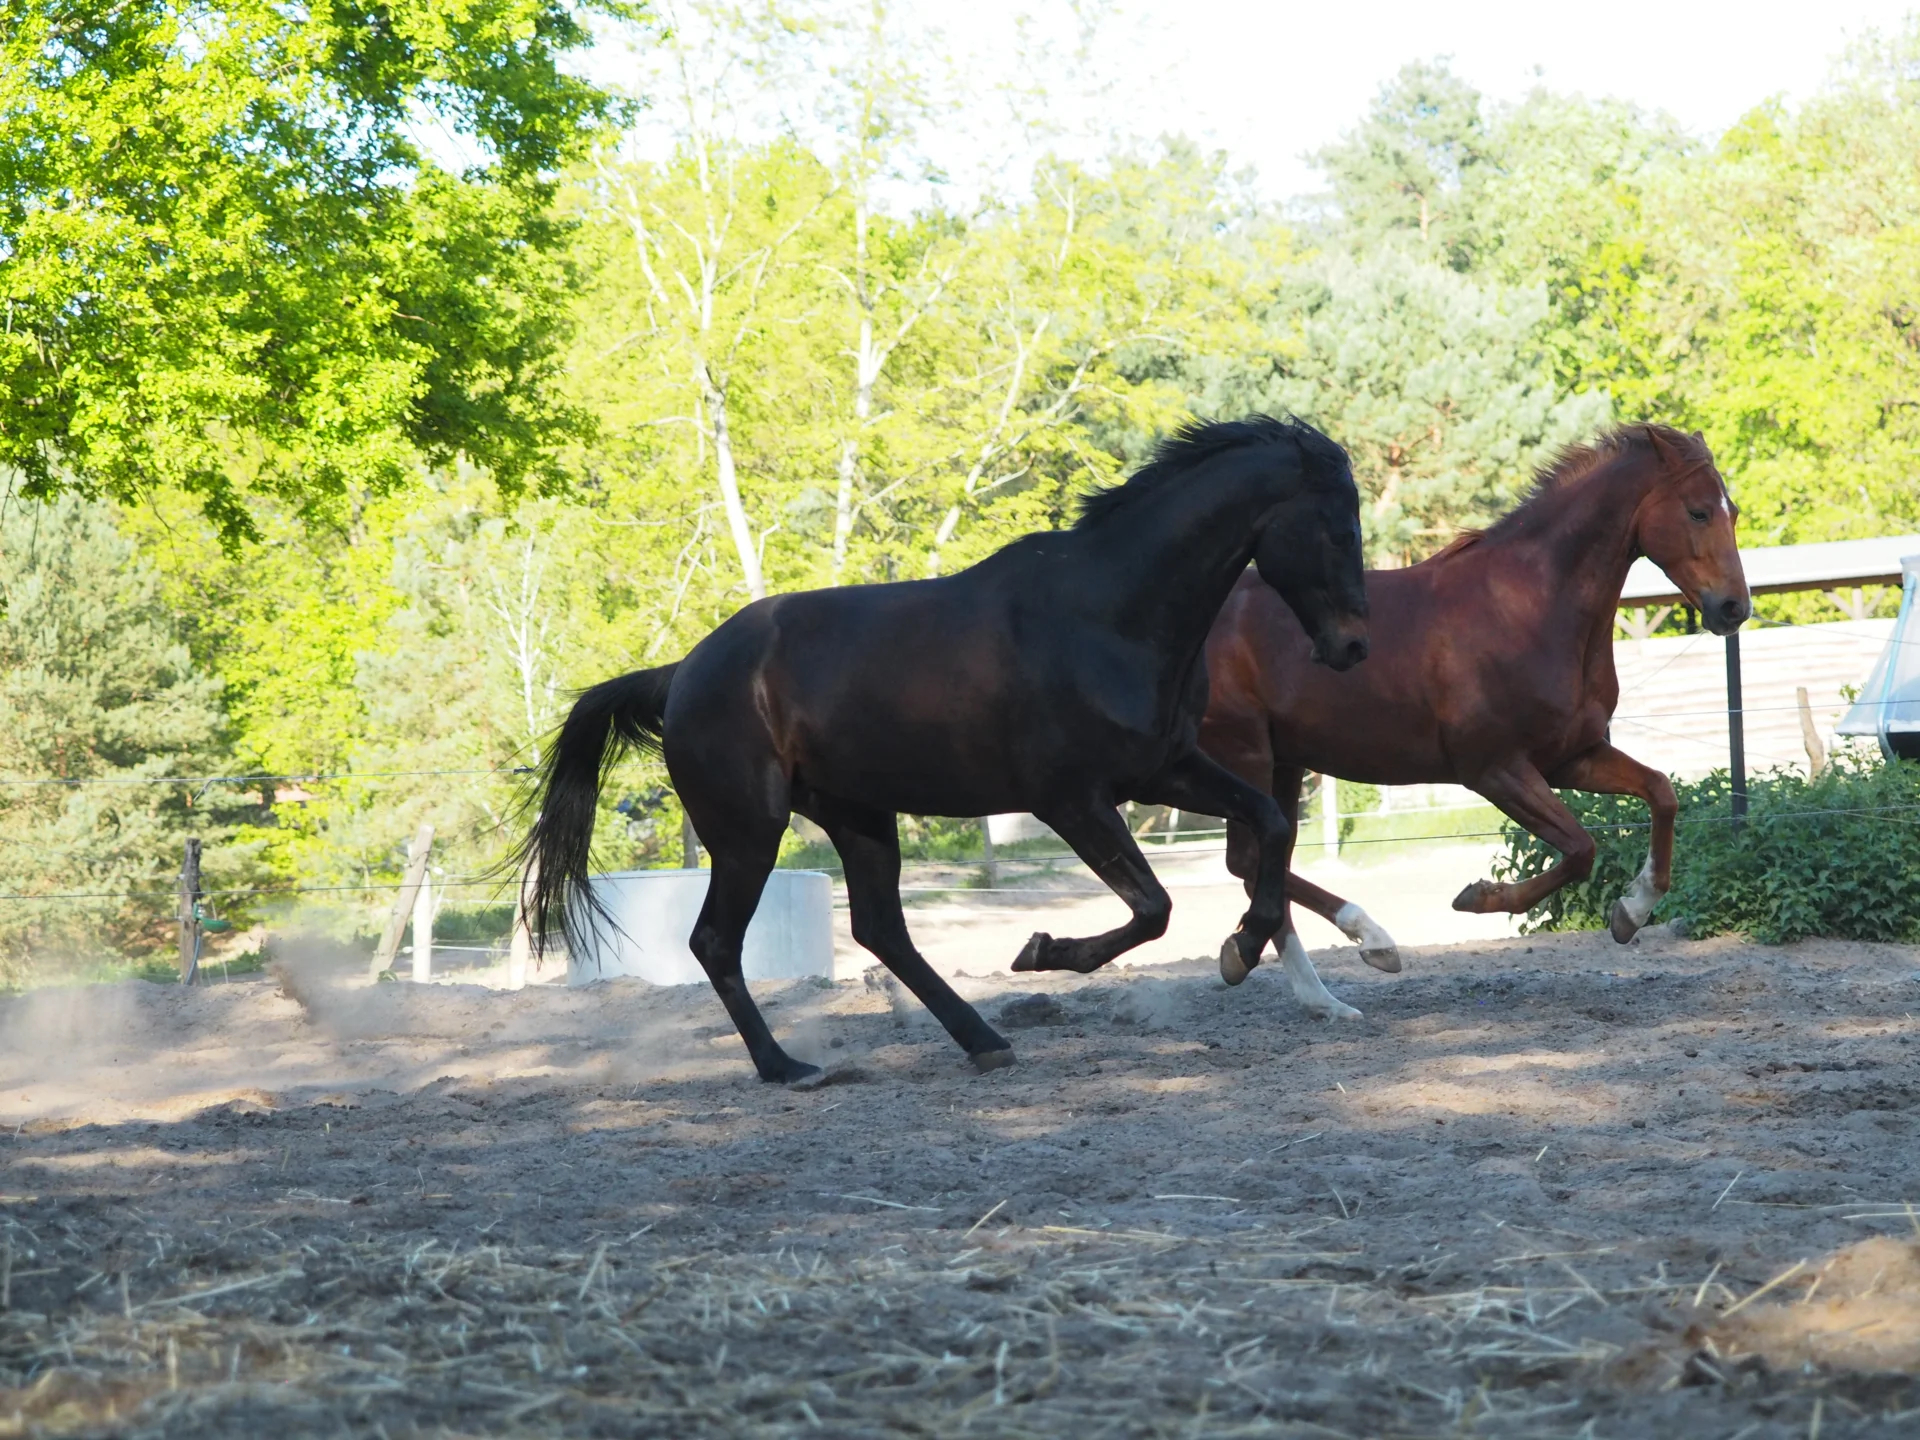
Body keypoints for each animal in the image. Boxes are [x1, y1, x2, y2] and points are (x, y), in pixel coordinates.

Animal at [523, 417, 1371, 1085]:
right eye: (1340, 526)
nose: (1354, 648)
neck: (1108, 613)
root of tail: (681, 674)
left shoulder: (1164, 769)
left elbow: (1270, 826)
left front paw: (1242, 947)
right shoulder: (1071, 798)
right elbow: (1154, 908)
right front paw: (1043, 950)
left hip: (859, 817)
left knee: (879, 931)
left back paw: (983, 1040)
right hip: (748, 832)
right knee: (716, 942)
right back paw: (787, 1067)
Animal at [1197, 424, 1750, 1017]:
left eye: (1734, 510)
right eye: (1697, 512)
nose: (1734, 609)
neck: (1529, 607)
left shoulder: (1571, 758)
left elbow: (1662, 794)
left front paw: (1631, 912)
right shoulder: (1493, 769)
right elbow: (1582, 849)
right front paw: (1479, 897)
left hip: (1282, 763)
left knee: (1259, 862)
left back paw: (1321, 990)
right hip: (1245, 753)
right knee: (1251, 859)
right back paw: (1349, 944)